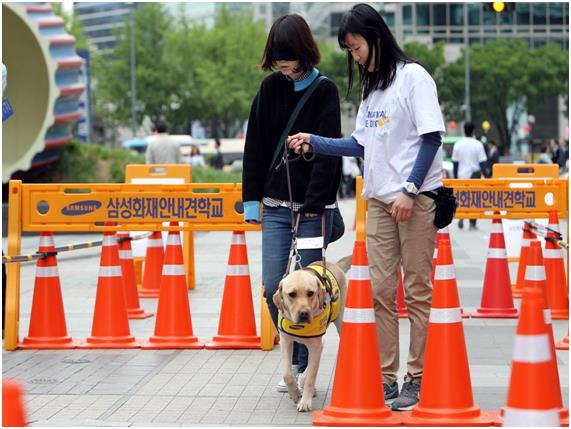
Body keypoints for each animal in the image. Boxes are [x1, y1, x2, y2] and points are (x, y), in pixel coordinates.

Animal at [274, 256, 350, 410]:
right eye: (291, 294)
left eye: (311, 293)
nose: (304, 313)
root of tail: (335, 265)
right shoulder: (285, 341)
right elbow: (287, 374)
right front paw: (295, 393)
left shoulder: (316, 345)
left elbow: (311, 377)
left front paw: (305, 402)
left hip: (340, 320)